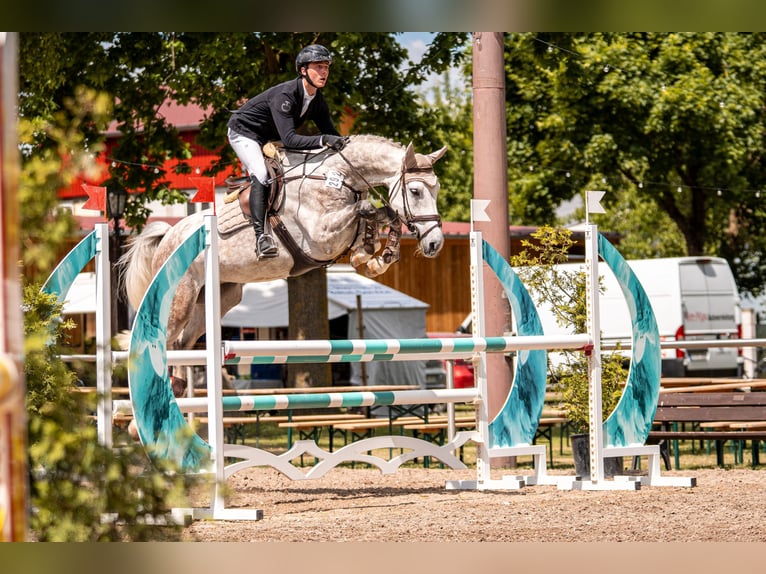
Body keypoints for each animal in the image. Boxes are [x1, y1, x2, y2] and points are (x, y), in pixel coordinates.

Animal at [121, 134, 447, 351]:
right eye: (415, 191)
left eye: (437, 189)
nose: (435, 244)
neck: (336, 175)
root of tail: (168, 236)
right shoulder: (320, 236)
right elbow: (366, 210)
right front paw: (371, 252)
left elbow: (383, 214)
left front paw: (377, 255)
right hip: (180, 297)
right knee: (157, 342)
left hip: (218, 298)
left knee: (180, 345)